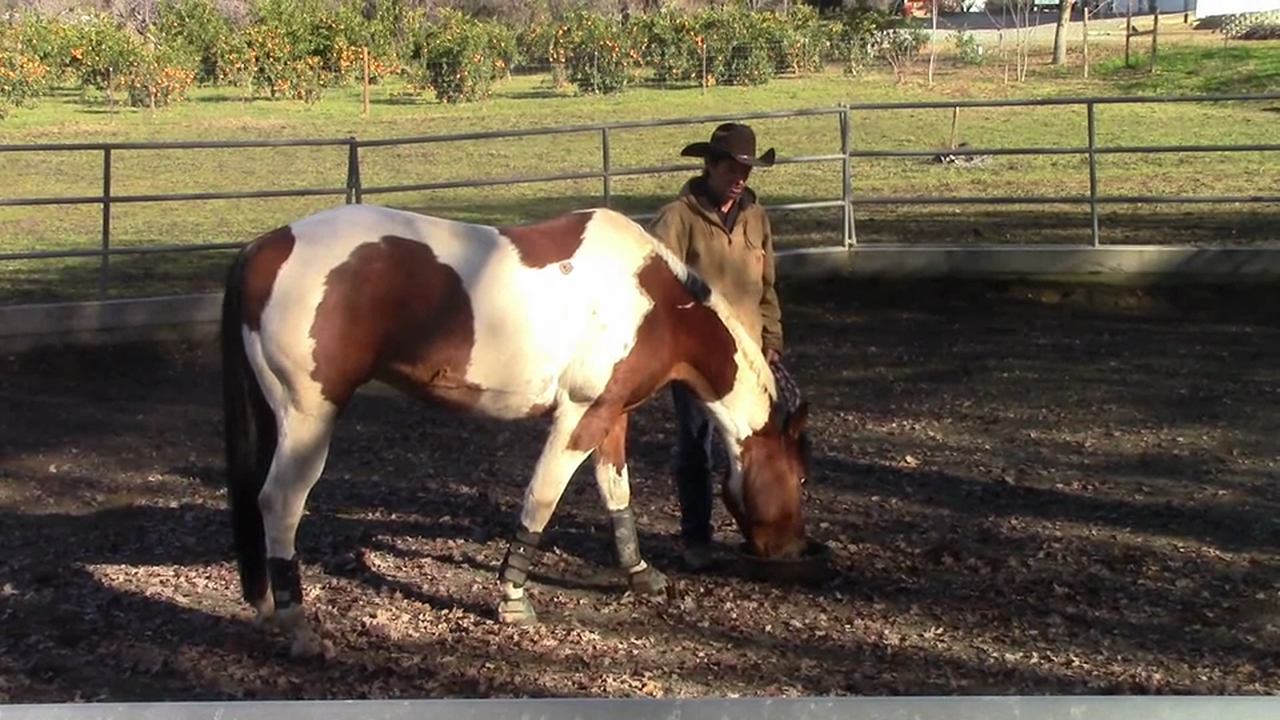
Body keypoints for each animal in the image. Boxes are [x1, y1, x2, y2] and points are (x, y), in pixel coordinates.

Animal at [220, 202, 813, 659]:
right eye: (802, 477)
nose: (793, 550)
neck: (653, 299)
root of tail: (265, 247)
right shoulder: (579, 416)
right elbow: (541, 499)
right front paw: (512, 599)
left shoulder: (612, 415)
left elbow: (616, 493)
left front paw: (640, 573)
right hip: (309, 418)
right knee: (280, 503)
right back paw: (299, 629)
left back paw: (269, 606)